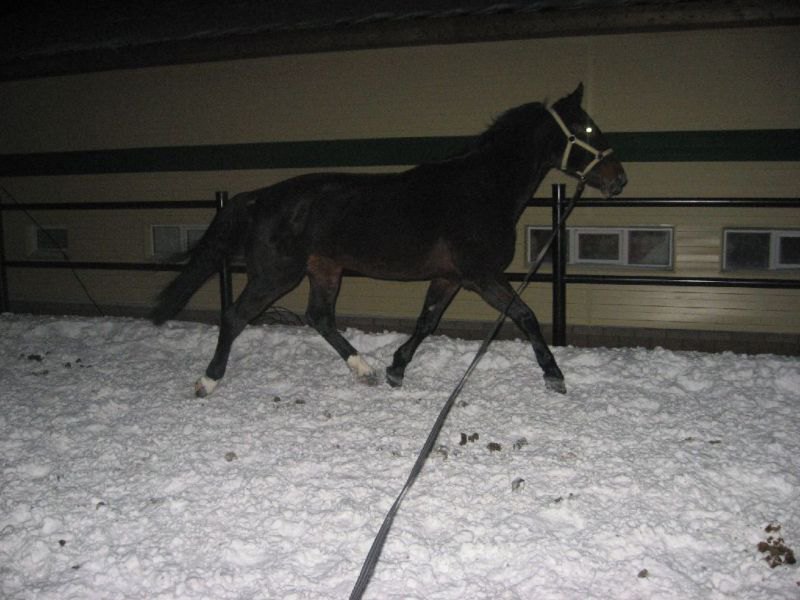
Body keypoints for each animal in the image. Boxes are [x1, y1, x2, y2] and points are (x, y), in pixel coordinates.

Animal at [150, 82, 624, 396]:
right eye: (585, 131)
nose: (619, 179)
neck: (481, 187)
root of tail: (260, 197)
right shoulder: (482, 276)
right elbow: (525, 316)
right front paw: (554, 375)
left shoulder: (450, 278)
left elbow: (426, 322)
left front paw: (397, 368)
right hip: (276, 275)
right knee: (234, 316)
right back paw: (208, 380)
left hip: (325, 270)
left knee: (319, 317)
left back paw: (365, 370)